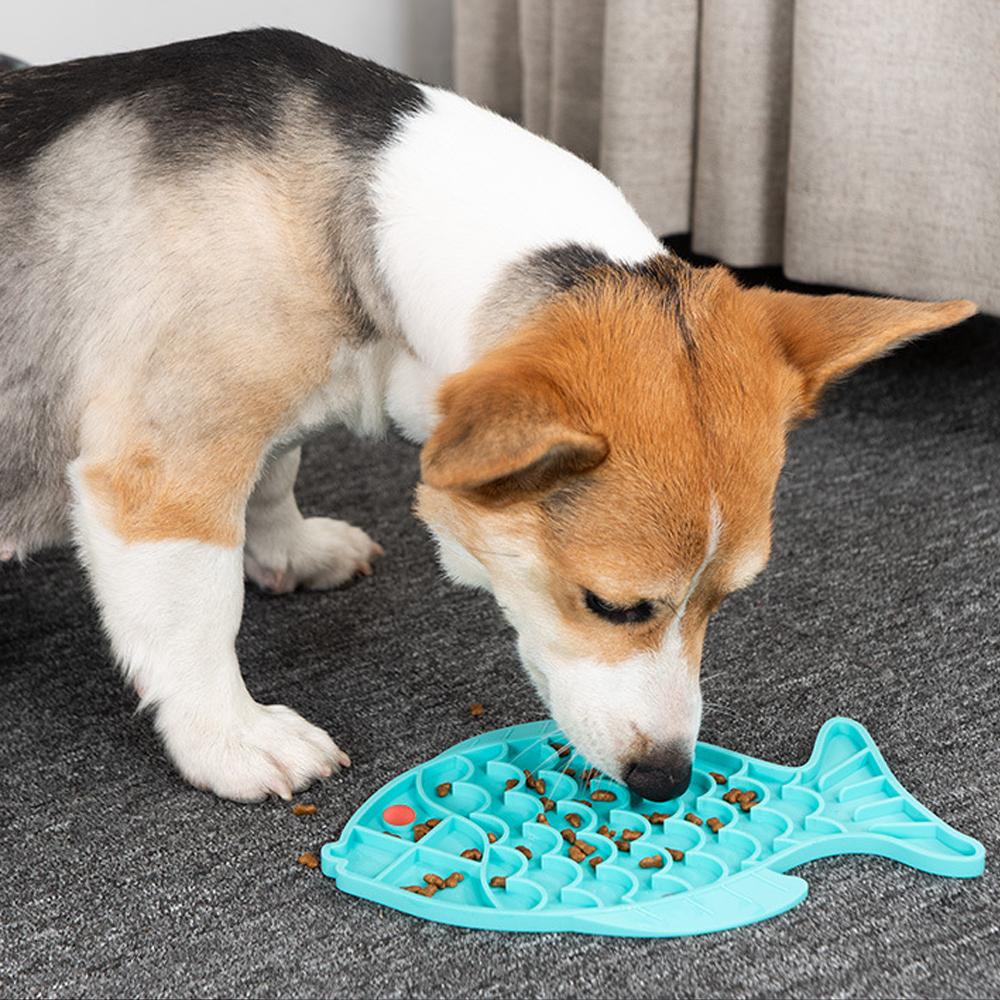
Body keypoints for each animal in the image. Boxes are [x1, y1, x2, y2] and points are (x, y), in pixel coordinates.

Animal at [0, 27, 972, 800]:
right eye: (612, 606)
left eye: (728, 600)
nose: (666, 781)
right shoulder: (164, 472)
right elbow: (199, 616)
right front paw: (232, 739)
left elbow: (277, 471)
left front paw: (288, 549)